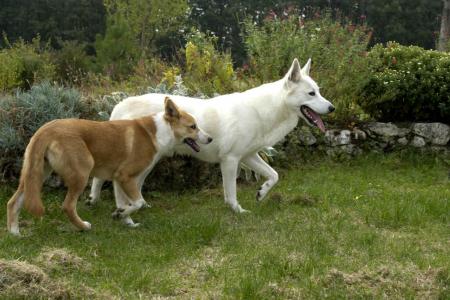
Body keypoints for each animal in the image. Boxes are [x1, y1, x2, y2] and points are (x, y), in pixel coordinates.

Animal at [6, 97, 211, 236]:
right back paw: (83, 227)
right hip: (81, 172)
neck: (158, 132)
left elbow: (127, 204)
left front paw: (125, 220)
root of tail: (45, 130)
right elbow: (138, 202)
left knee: (13, 202)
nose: (210, 139)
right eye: (193, 126)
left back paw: (15, 233)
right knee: (67, 206)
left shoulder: (120, 180)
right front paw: (123, 215)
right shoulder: (125, 177)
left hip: (37, 174)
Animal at [88, 58, 334, 213]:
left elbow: (274, 175)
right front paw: (237, 211)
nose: (332, 108)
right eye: (311, 94)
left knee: (123, 183)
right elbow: (231, 193)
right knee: (108, 179)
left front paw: (261, 193)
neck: (265, 109)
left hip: (149, 163)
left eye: (319, 91)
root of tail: (121, 103)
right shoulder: (231, 160)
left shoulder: (249, 157)